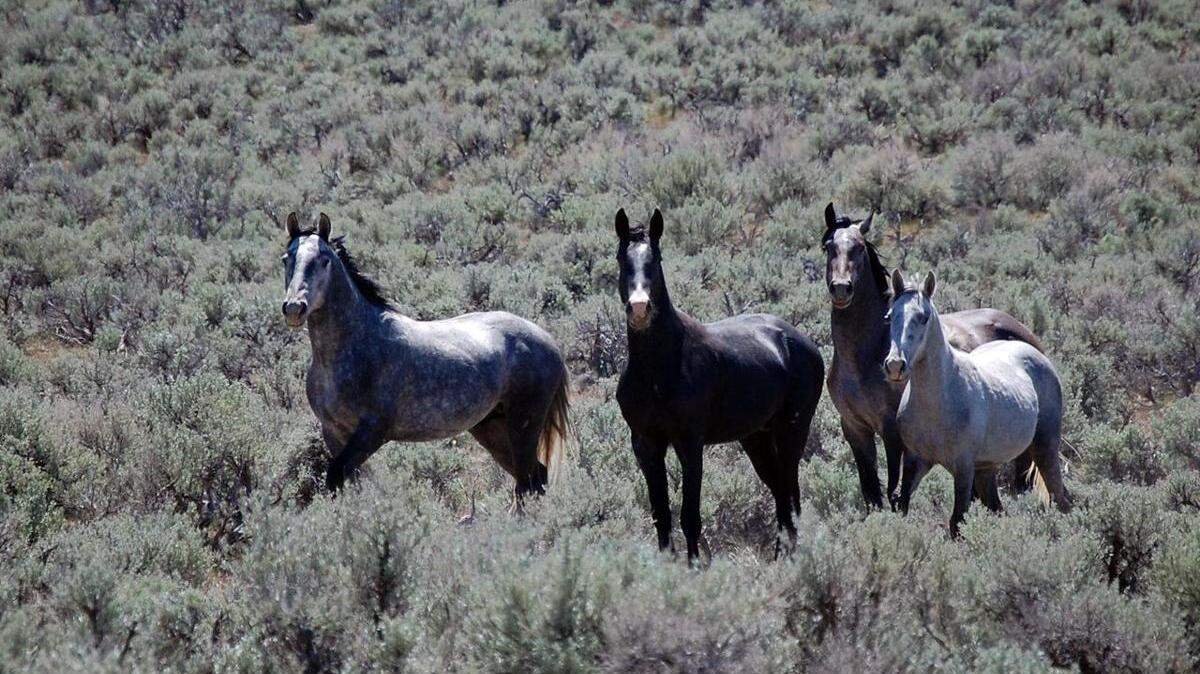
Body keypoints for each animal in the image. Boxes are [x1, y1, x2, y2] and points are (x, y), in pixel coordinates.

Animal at [280, 212, 569, 498]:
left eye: (324, 260)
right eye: (286, 258)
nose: (294, 308)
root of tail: (549, 341)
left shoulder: (371, 433)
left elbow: (336, 476)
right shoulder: (333, 432)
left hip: (523, 424)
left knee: (529, 480)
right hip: (492, 427)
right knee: (532, 477)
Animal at [613, 208, 824, 562]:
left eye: (655, 259)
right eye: (620, 258)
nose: (640, 307)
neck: (658, 369)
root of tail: (802, 342)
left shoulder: (690, 444)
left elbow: (689, 516)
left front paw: (695, 566)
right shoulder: (646, 444)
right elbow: (661, 516)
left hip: (792, 431)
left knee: (790, 497)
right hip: (757, 439)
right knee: (782, 494)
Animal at [821, 203, 1042, 512]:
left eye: (859, 247)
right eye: (828, 246)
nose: (842, 288)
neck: (864, 358)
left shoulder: (892, 433)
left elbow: (892, 489)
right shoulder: (854, 428)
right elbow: (871, 492)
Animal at [885, 269, 1071, 536]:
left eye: (924, 317)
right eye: (890, 316)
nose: (894, 365)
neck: (939, 403)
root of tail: (1034, 350)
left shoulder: (963, 469)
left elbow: (957, 521)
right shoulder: (915, 461)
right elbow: (902, 502)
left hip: (1044, 448)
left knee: (1060, 497)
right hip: (987, 468)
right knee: (999, 507)